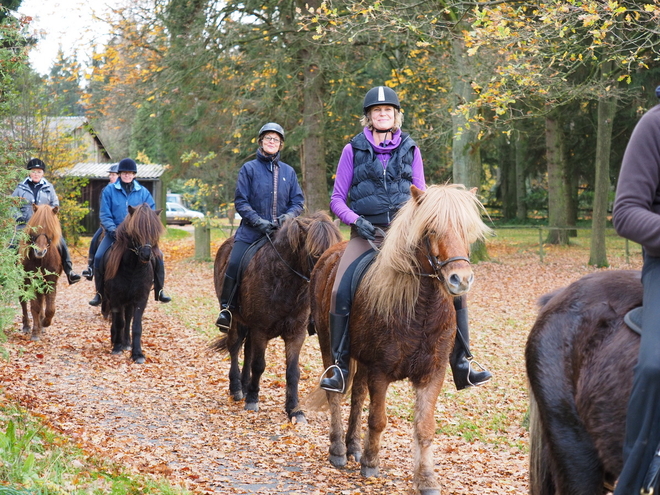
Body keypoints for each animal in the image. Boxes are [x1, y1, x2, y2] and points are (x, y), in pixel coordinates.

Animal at [19, 204, 63, 340]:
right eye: (35, 230)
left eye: (50, 230)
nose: (39, 252)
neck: (41, 261)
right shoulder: (32, 281)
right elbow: (35, 307)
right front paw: (35, 332)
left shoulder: (51, 281)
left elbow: (50, 308)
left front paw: (45, 323)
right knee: (23, 301)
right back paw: (27, 326)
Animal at [211, 211, 342, 424]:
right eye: (315, 254)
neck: (284, 281)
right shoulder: (260, 330)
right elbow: (259, 365)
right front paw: (253, 400)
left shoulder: (296, 334)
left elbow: (293, 372)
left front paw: (295, 410)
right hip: (236, 321)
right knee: (235, 347)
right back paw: (237, 388)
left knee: (247, 350)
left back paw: (245, 386)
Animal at [304, 184, 490, 494]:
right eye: (432, 229)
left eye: (466, 229)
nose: (460, 279)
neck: (422, 311)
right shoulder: (381, 371)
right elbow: (378, 420)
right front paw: (371, 464)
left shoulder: (433, 373)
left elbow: (425, 427)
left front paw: (426, 479)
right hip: (330, 347)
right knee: (335, 395)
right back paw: (339, 450)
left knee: (357, 395)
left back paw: (354, 447)